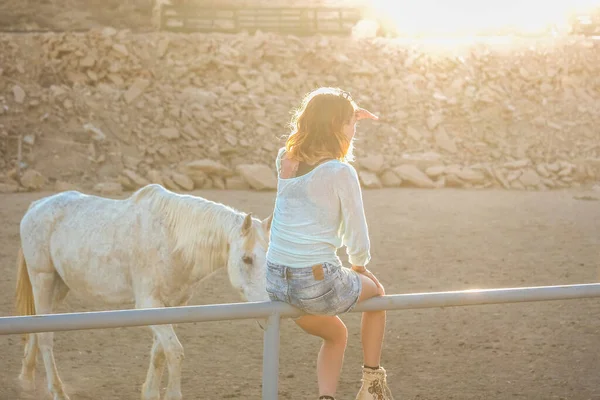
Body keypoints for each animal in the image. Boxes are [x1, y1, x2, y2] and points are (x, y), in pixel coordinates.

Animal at [14, 184, 272, 400]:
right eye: (246, 259)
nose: (267, 309)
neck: (172, 239)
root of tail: (36, 206)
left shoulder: (172, 305)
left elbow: (160, 352)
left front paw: (150, 393)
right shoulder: (149, 303)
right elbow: (174, 351)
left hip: (58, 287)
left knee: (36, 324)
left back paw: (26, 379)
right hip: (43, 279)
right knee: (46, 337)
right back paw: (57, 391)